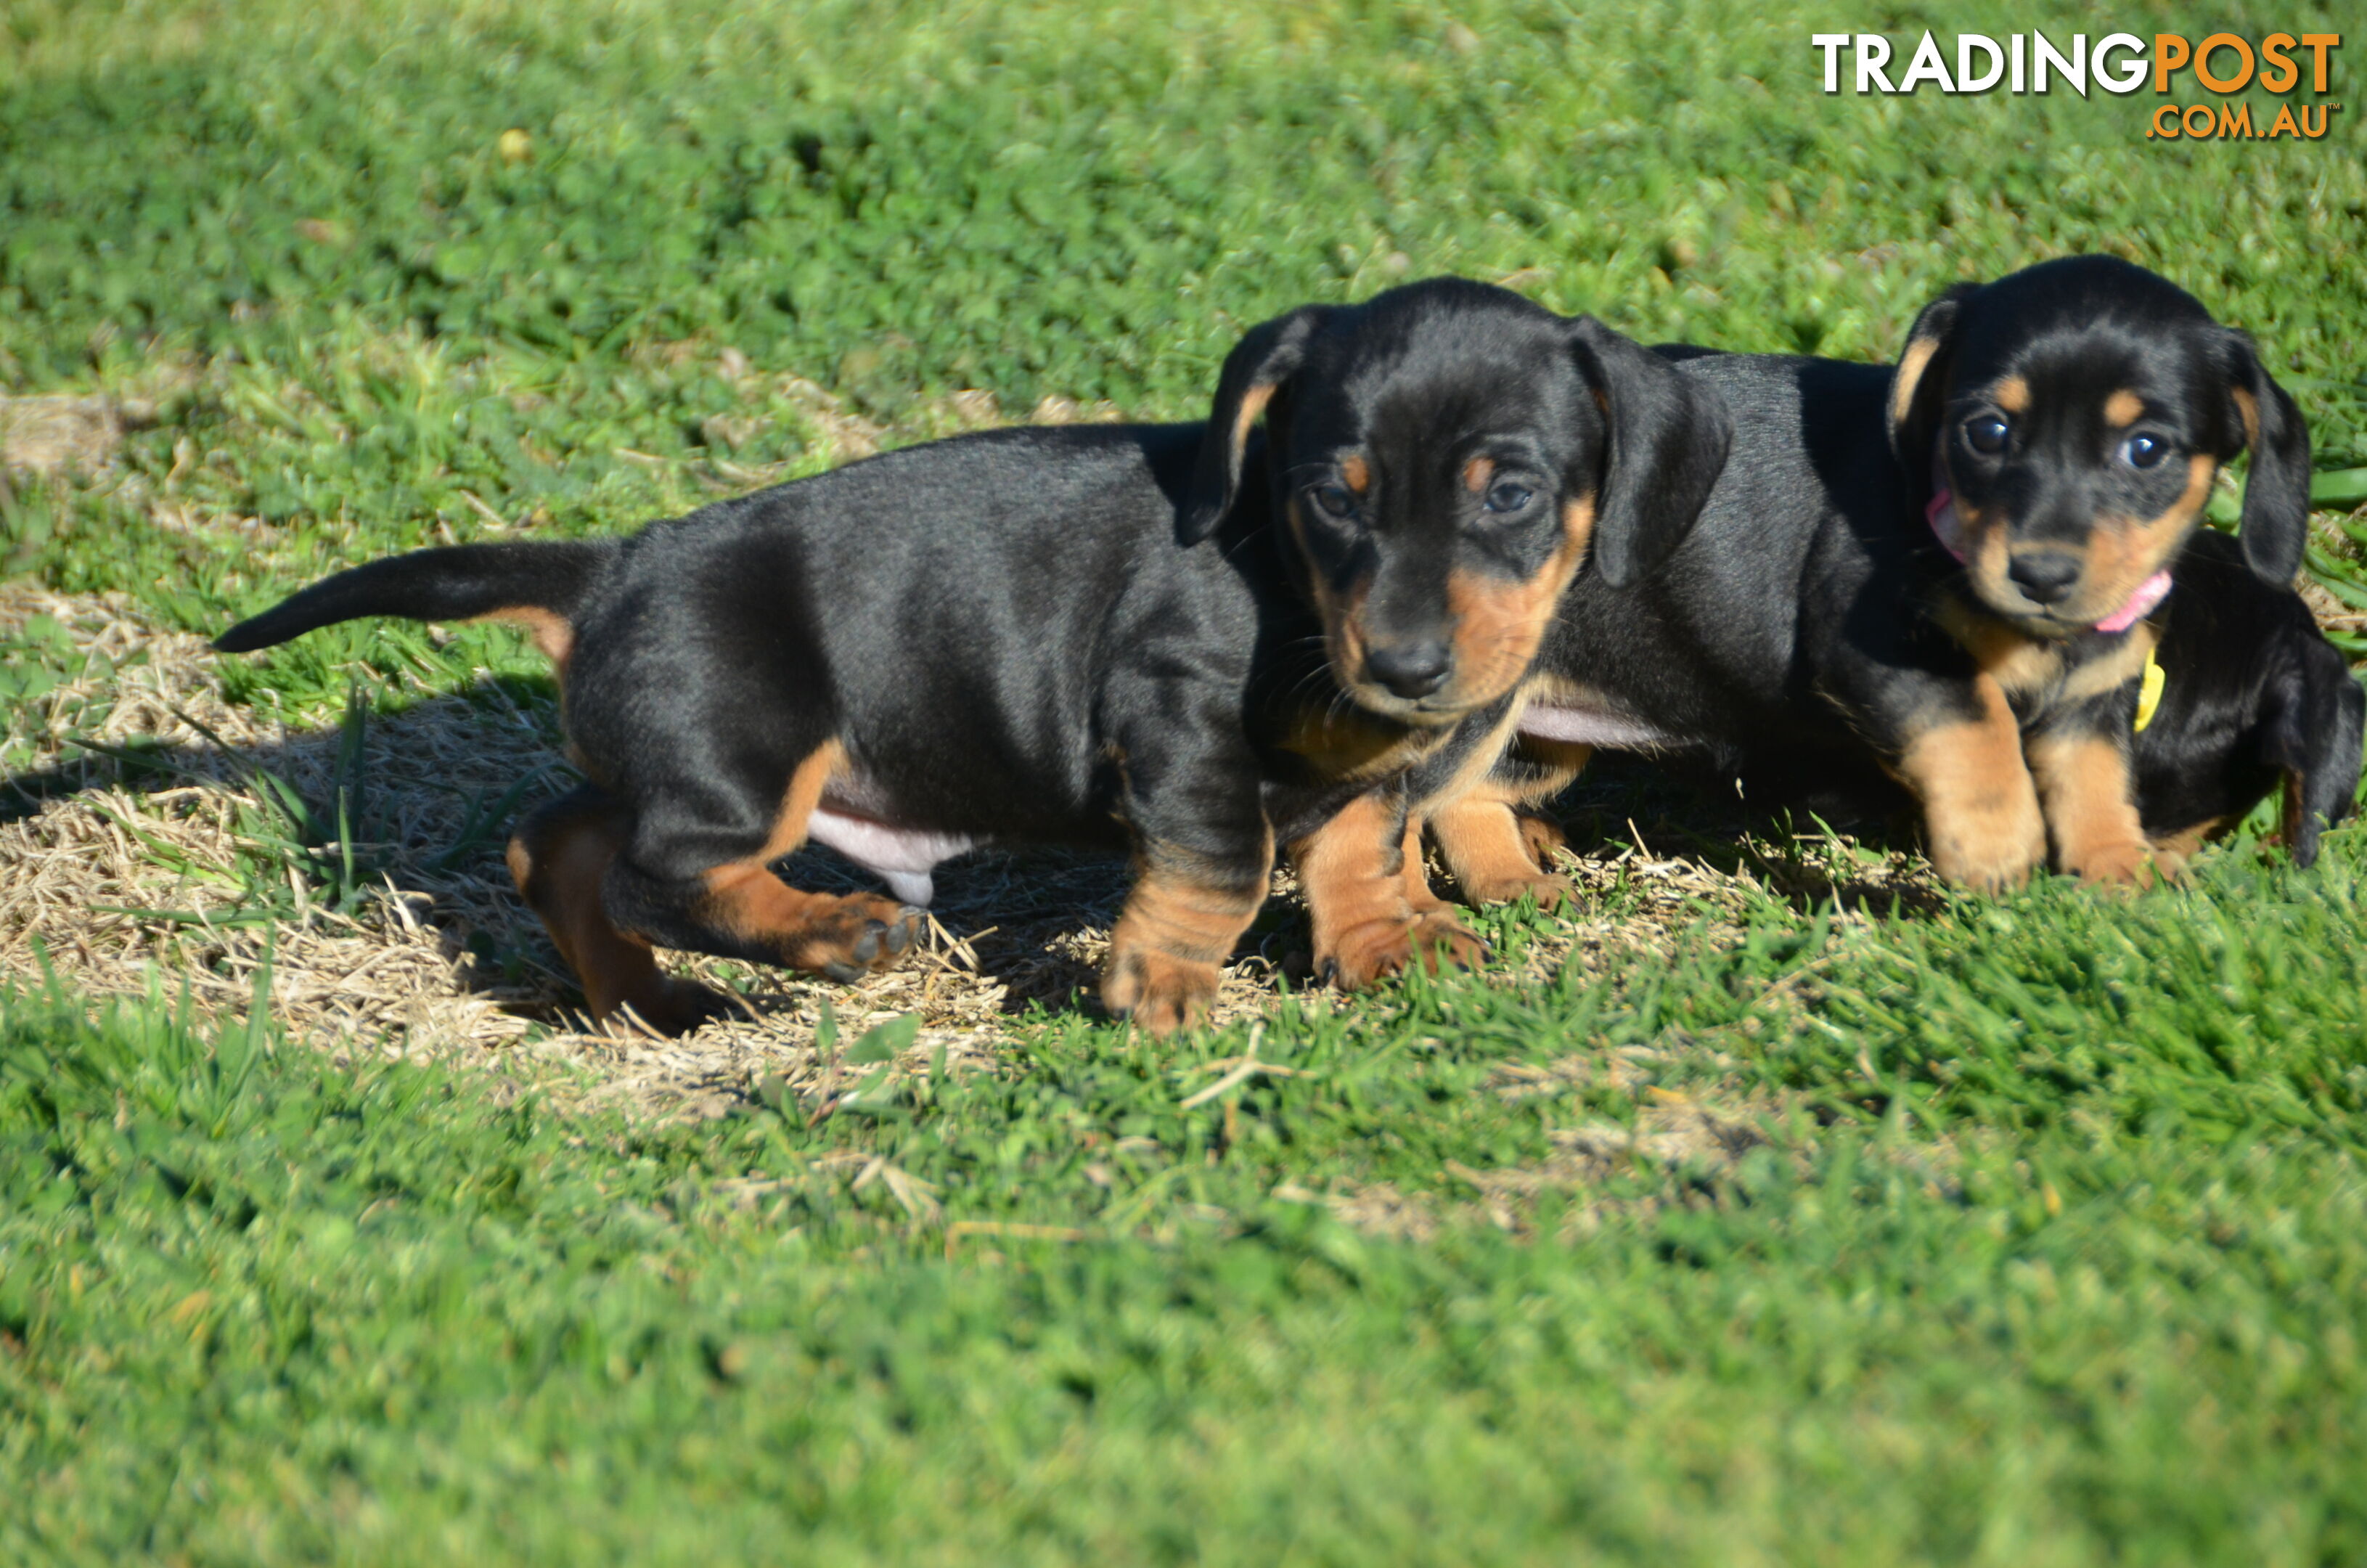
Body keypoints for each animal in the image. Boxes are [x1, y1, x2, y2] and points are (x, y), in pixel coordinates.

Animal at [218, 279, 1723, 1042]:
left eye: (1509, 494)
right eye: (1332, 496)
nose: (1406, 666)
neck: (1299, 598)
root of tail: (617, 566)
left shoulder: (1368, 762)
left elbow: (1362, 838)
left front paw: (1382, 948)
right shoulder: (1179, 722)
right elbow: (1224, 864)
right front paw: (1161, 988)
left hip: (680, 751)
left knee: (564, 847)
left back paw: (652, 1004)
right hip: (752, 748)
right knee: (655, 871)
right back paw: (830, 935)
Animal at [1401, 258, 2310, 905]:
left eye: (2146, 449)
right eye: (1987, 431)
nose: (2041, 574)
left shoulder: (2092, 693)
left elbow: (2093, 780)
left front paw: (2120, 871)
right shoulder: (1877, 649)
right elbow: (1977, 727)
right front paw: (1996, 845)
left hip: (1539, 734)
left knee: (1462, 798)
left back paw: (1510, 882)